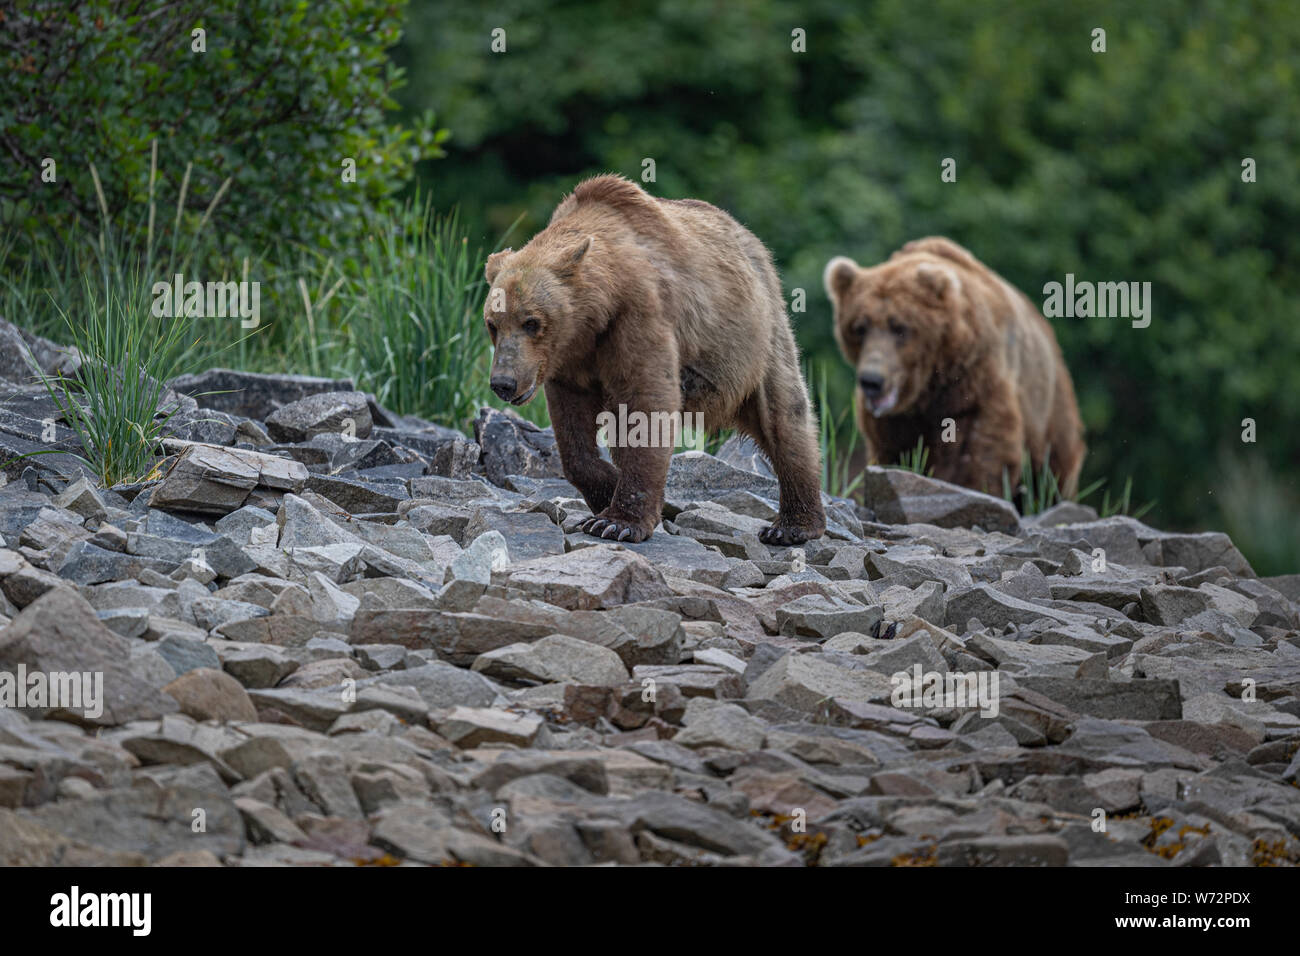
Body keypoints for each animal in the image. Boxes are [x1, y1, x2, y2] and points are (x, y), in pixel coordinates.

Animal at [483, 174, 826, 545]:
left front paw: (617, 522)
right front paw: (607, 490)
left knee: (784, 413)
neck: (598, 310)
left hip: (757, 337)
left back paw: (792, 526)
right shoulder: (570, 355)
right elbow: (573, 427)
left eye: (531, 322)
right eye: (493, 324)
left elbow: (647, 400)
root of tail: (749, 237)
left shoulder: (639, 314)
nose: (503, 383)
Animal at [824, 237, 1085, 499]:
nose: (872, 380)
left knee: (1051, 471)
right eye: (859, 327)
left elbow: (976, 448)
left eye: (900, 327)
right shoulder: (895, 418)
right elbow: (894, 449)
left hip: (1048, 409)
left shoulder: (974, 381)